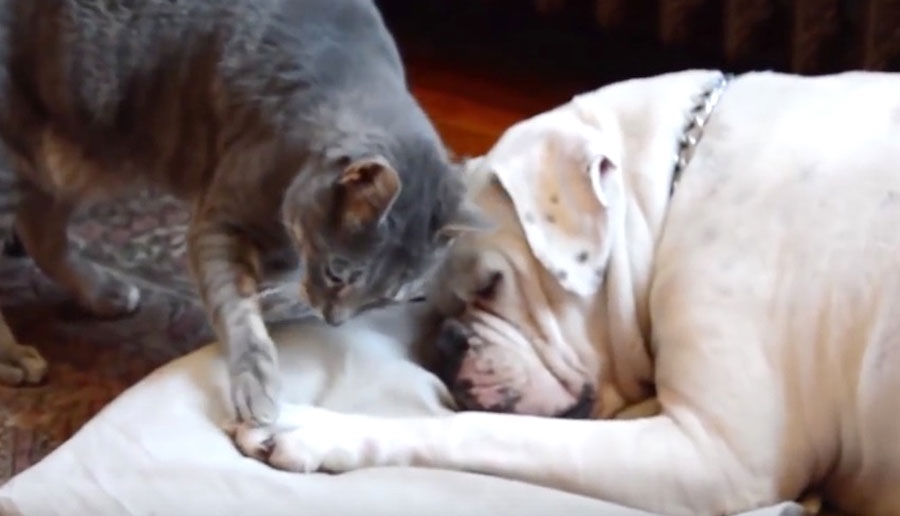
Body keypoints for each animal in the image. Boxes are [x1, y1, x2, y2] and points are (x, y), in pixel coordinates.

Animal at [0, 0, 486, 424]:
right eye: (338, 275)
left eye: (387, 299)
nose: (335, 321)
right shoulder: (219, 224)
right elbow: (238, 313)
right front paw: (257, 381)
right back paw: (15, 357)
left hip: (75, 156)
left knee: (41, 230)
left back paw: (102, 291)